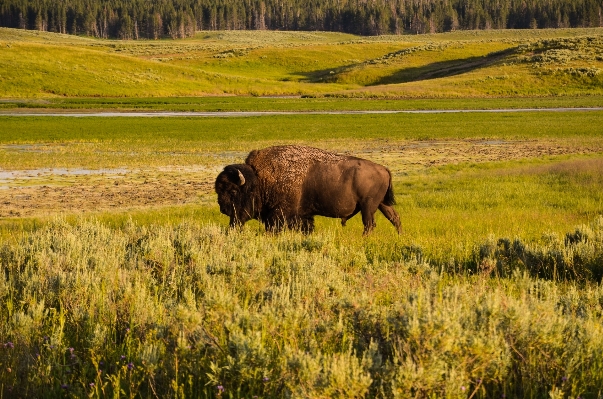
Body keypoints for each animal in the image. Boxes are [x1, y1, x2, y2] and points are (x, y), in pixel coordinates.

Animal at [215, 146, 404, 234]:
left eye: (233, 191)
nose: (223, 209)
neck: (259, 179)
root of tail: (384, 169)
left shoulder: (278, 215)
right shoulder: (303, 216)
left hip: (368, 206)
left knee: (369, 224)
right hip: (381, 204)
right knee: (394, 218)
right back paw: (399, 235)